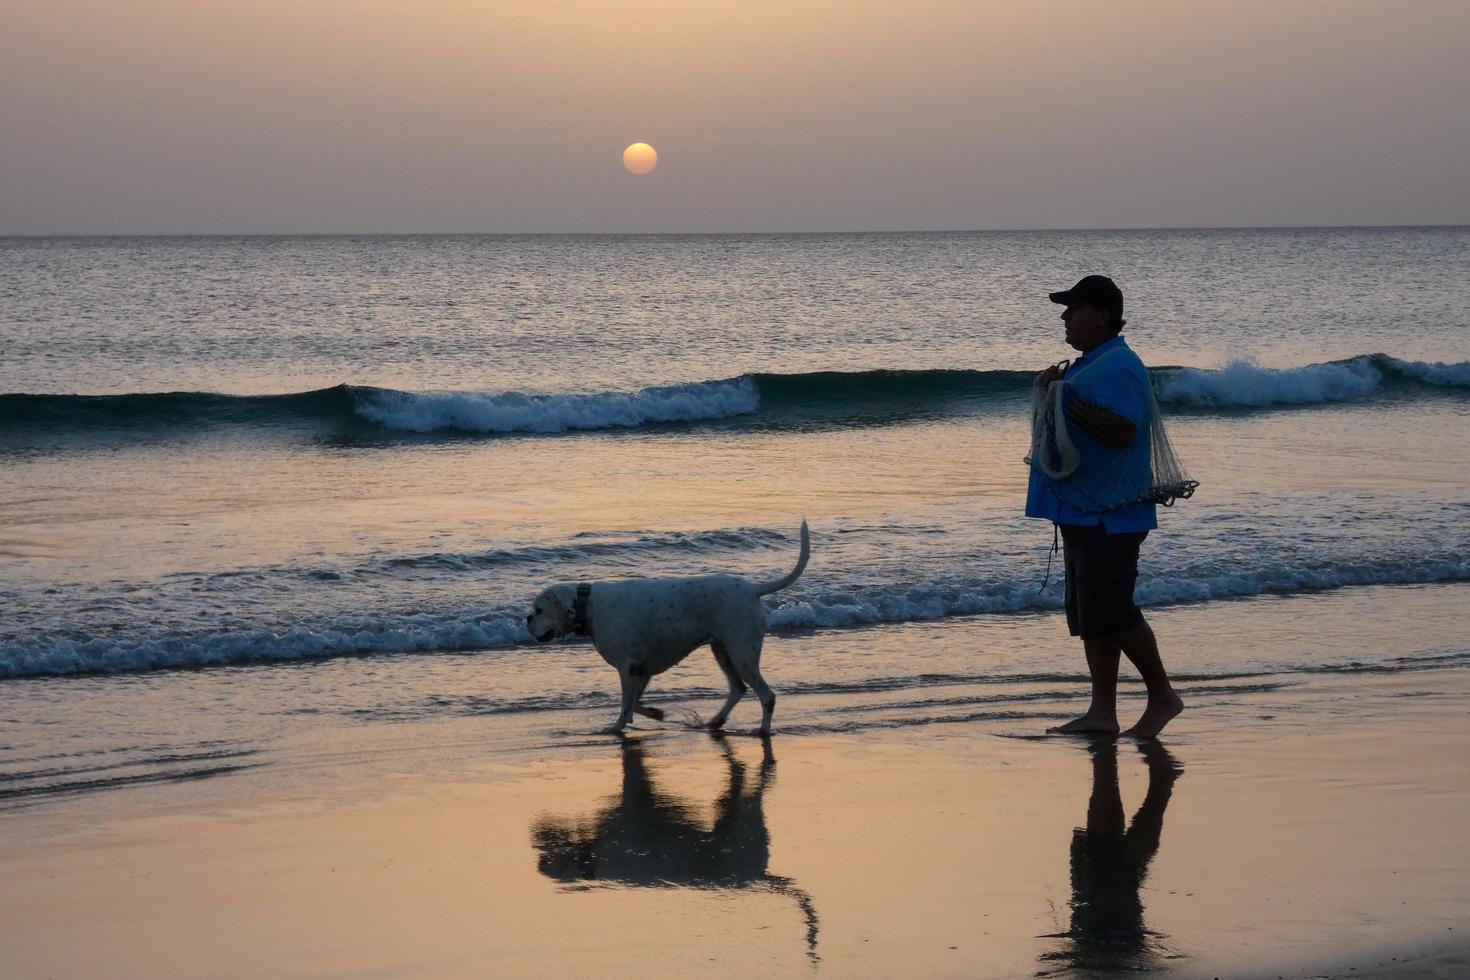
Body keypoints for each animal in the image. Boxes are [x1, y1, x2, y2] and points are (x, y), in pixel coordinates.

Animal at [526, 520, 811, 734]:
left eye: (539, 610)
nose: (526, 619)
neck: (589, 606)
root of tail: (753, 589)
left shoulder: (628, 668)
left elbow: (626, 704)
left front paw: (617, 726)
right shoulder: (641, 669)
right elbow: (634, 702)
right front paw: (655, 713)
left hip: (742, 654)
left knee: (767, 695)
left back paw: (762, 730)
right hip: (723, 651)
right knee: (738, 688)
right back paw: (717, 720)